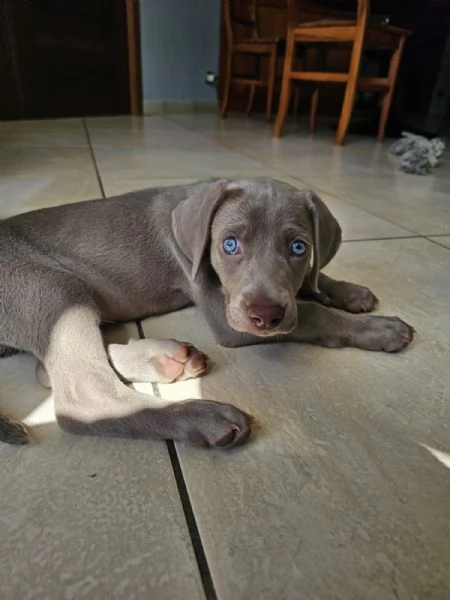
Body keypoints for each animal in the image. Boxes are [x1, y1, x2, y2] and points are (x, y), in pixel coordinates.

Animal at [0, 177, 414, 446]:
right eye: (229, 245)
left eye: (299, 247)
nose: (266, 315)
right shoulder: (226, 315)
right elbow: (312, 314)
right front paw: (380, 328)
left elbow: (310, 285)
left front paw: (347, 291)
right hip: (51, 286)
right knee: (83, 396)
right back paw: (202, 416)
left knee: (47, 371)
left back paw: (165, 359)